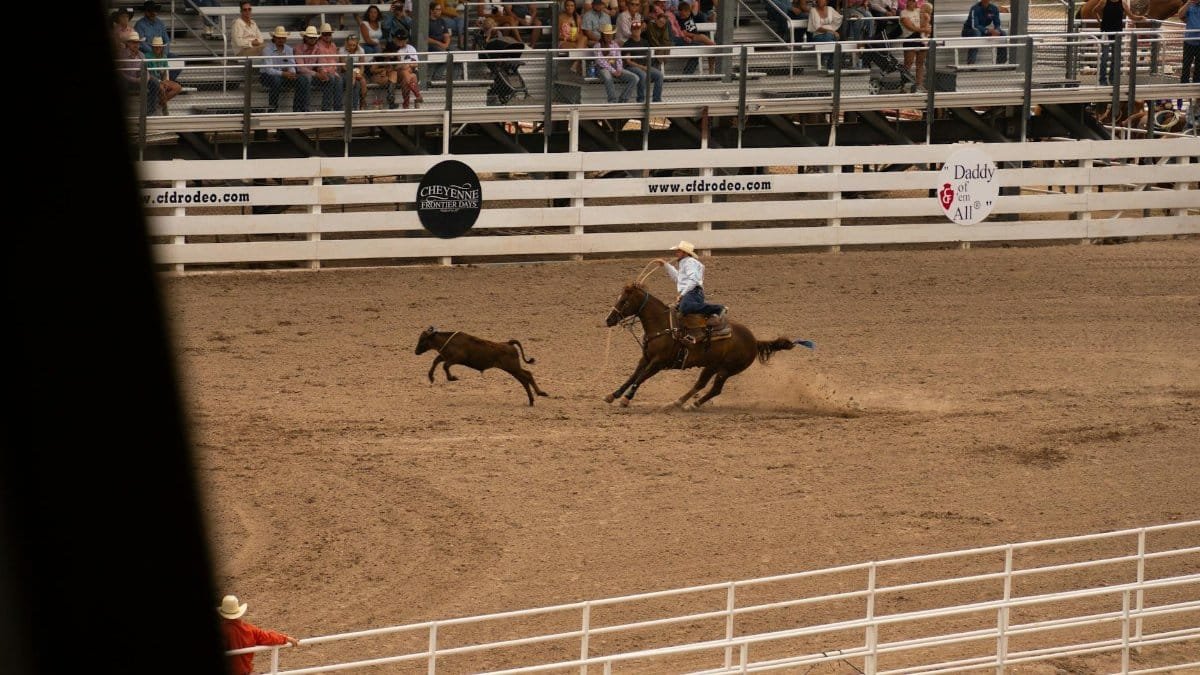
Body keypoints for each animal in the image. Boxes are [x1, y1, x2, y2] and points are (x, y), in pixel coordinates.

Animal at [415, 326, 550, 405]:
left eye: (423, 340)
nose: (416, 352)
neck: (448, 341)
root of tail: (508, 343)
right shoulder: (444, 356)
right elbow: (436, 362)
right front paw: (431, 378)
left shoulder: (455, 359)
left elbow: (444, 366)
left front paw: (452, 378)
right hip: (513, 369)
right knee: (525, 378)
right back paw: (532, 400)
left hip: (512, 368)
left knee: (527, 376)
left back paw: (540, 394)